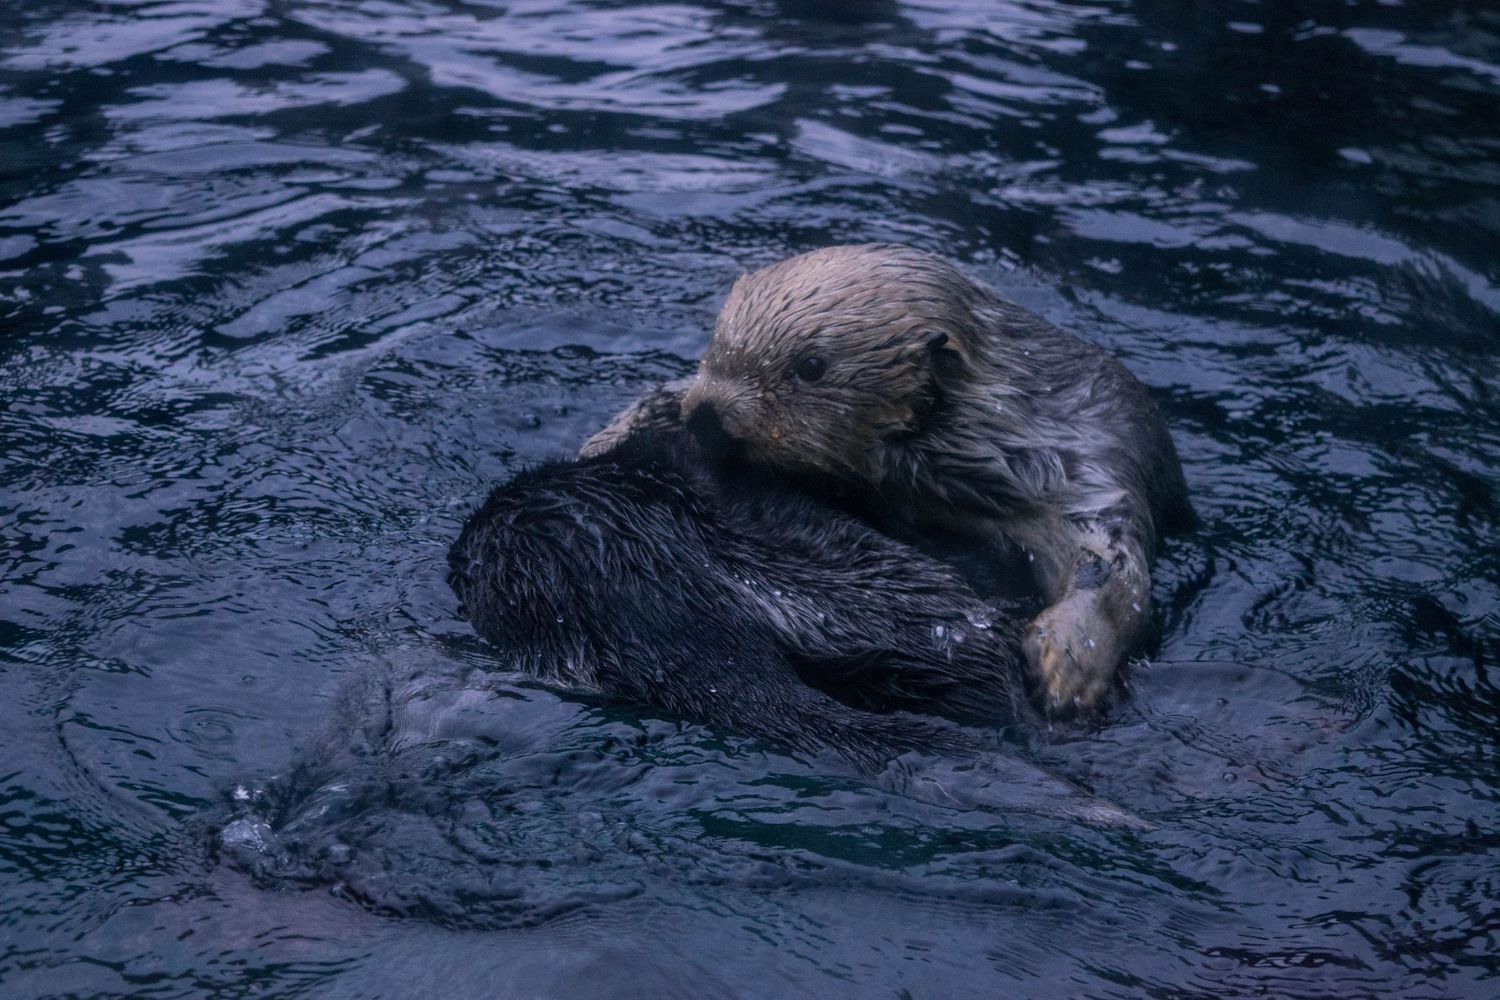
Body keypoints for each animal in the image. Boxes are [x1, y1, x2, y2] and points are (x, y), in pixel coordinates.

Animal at [583, 245, 1192, 714]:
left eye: (811, 367)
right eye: (717, 338)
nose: (708, 413)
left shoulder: (1085, 462)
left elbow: (1111, 564)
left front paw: (1063, 664)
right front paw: (614, 435)